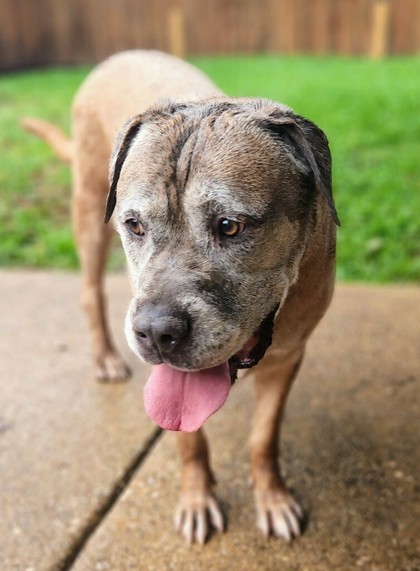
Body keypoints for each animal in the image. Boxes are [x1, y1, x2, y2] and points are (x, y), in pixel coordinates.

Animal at [22, 51, 338, 548]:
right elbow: (189, 438)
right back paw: (105, 358)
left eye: (230, 225)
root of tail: (115, 57)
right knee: (91, 294)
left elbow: (264, 436)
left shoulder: (289, 354)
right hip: (89, 212)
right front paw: (196, 499)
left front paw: (272, 499)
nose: (154, 332)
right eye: (134, 225)